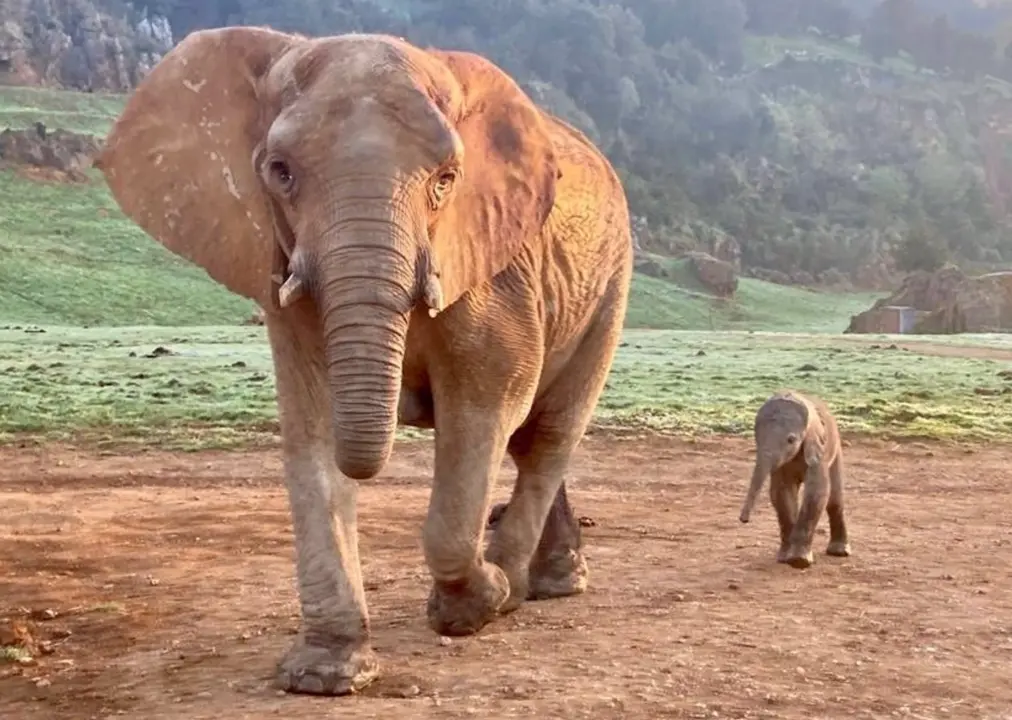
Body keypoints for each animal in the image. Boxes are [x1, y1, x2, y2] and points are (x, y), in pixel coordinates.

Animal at [94, 28, 633, 696]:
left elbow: (485, 406)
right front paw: (324, 676)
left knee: (546, 434)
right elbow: (311, 426)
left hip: (611, 285)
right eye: (280, 172)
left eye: (447, 178)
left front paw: (474, 604)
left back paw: (521, 589)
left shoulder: (493, 269)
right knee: (529, 437)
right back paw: (539, 583)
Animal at [738, 390, 851, 569]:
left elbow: (816, 491)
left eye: (791, 440)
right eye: (756, 439)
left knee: (834, 500)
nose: (744, 520)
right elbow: (781, 493)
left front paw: (799, 561)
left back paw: (839, 552)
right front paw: (785, 559)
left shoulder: (818, 450)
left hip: (836, 449)